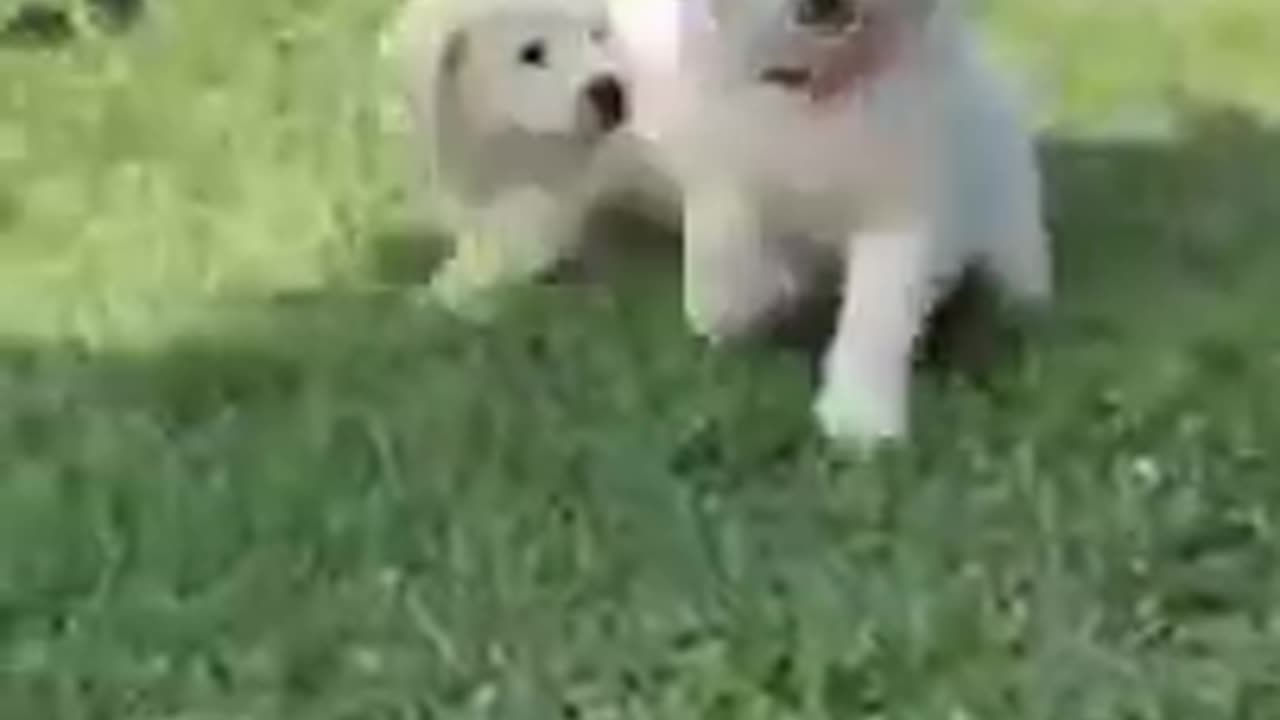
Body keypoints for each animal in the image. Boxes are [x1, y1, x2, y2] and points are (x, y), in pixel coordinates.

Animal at [675, 0, 1054, 443]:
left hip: (1009, 220)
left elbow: (877, 314)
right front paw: (748, 304)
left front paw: (860, 418)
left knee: (1015, 273)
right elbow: (725, 255)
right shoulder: (725, 159)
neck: (823, 84)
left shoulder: (902, 210)